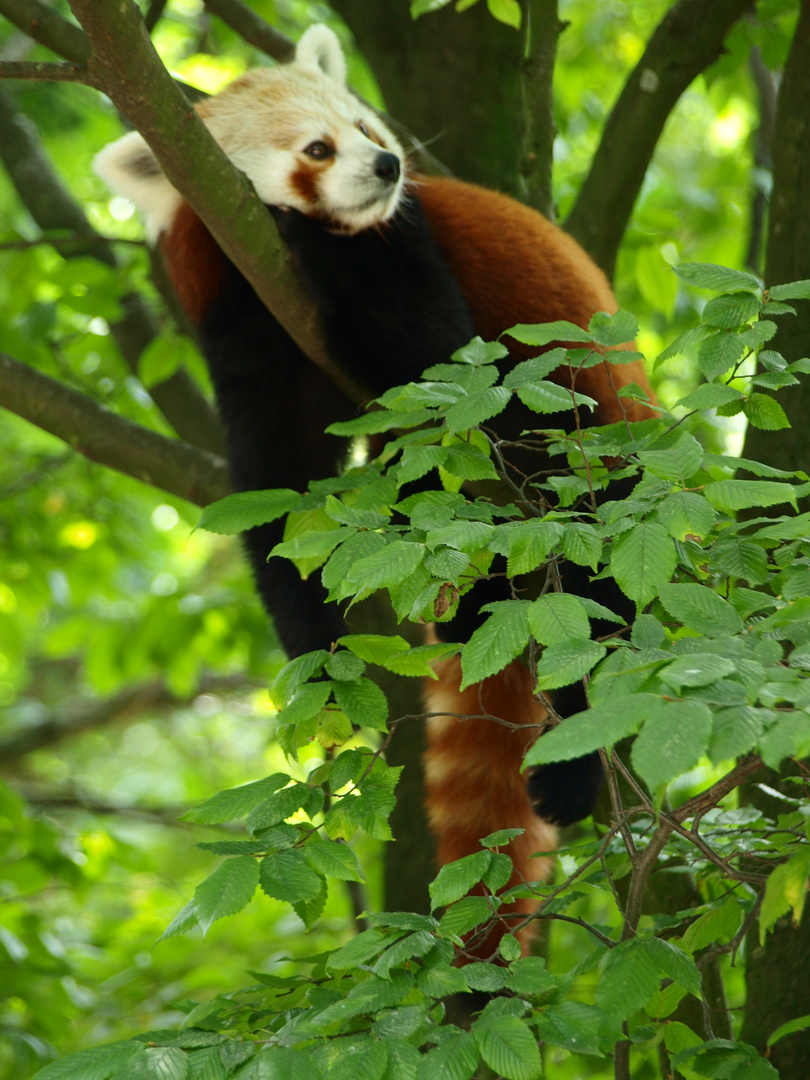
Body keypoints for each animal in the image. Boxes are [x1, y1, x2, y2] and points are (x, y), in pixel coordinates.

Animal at [95, 23, 656, 954]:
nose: (389, 166)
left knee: (592, 603)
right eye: (317, 149)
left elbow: (435, 358)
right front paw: (317, 662)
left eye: (365, 128)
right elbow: (278, 488)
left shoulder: (403, 256)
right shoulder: (244, 329)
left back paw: (576, 766)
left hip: (599, 461)